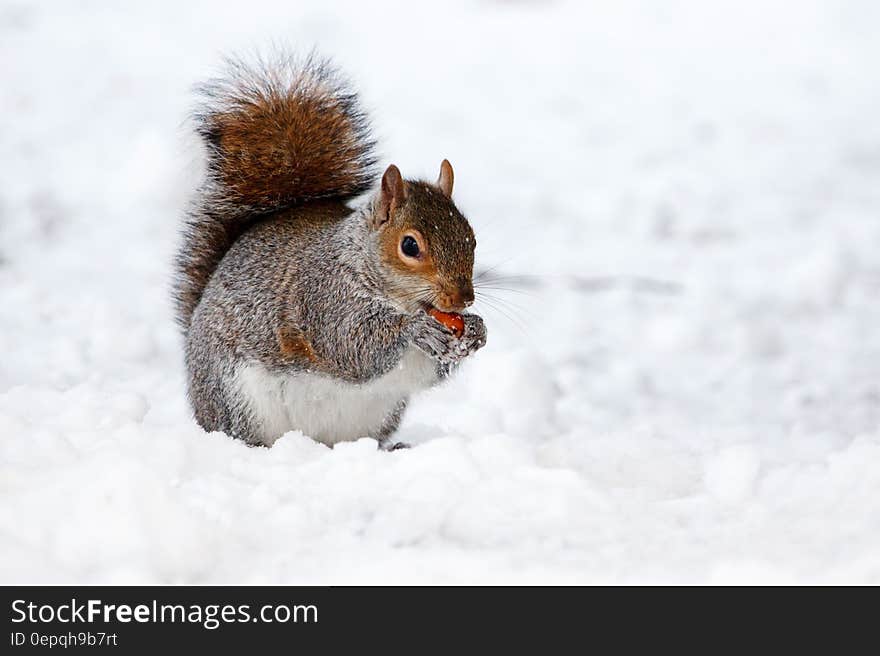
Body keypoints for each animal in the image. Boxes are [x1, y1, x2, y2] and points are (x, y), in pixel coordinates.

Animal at [172, 55, 488, 452]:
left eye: (472, 238)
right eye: (410, 245)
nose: (463, 299)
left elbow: (427, 372)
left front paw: (476, 330)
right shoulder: (324, 297)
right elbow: (352, 345)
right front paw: (417, 329)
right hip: (236, 399)